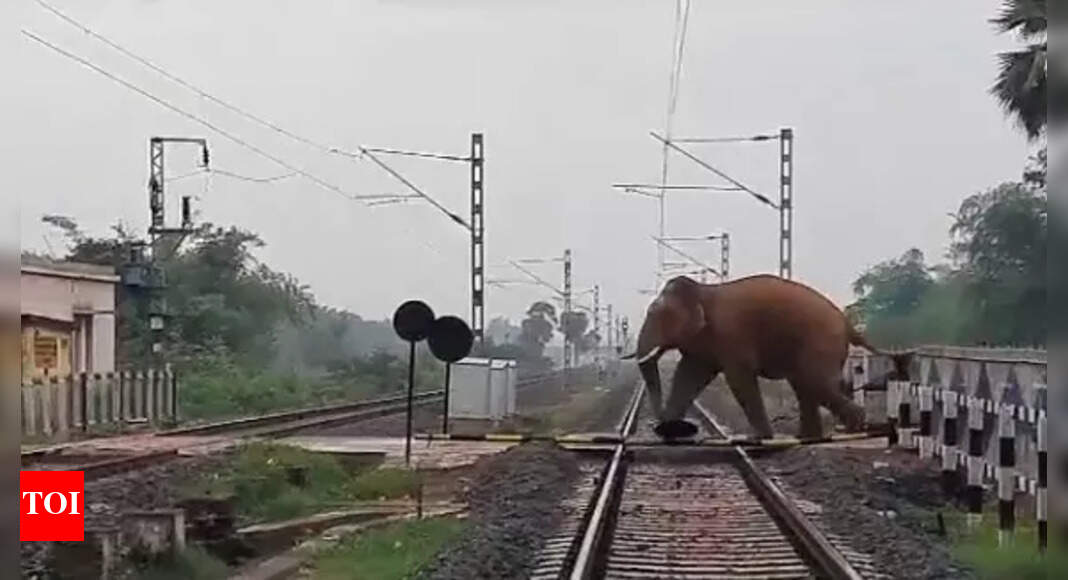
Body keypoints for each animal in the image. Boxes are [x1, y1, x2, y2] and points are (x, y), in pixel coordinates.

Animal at [623, 274, 899, 440]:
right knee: (805, 385)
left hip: (820, 341)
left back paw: (854, 429)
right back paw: (808, 438)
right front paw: (669, 431)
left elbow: (739, 378)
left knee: (813, 382)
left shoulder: (731, 333)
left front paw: (759, 438)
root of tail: (847, 322)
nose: (656, 423)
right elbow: (688, 375)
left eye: (655, 314)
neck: (703, 291)